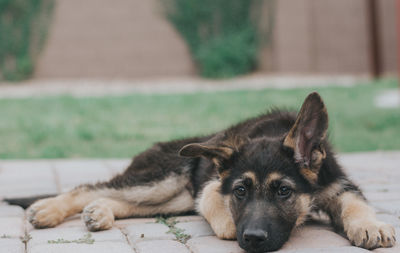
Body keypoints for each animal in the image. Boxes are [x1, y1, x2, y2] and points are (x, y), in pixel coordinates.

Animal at [21, 92, 394, 252]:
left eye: (284, 191)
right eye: (240, 191)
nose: (252, 239)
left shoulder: (338, 184)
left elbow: (356, 204)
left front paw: (371, 226)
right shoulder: (211, 189)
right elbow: (224, 218)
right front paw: (232, 225)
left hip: (174, 199)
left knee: (123, 201)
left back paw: (99, 212)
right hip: (164, 180)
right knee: (91, 186)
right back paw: (49, 209)